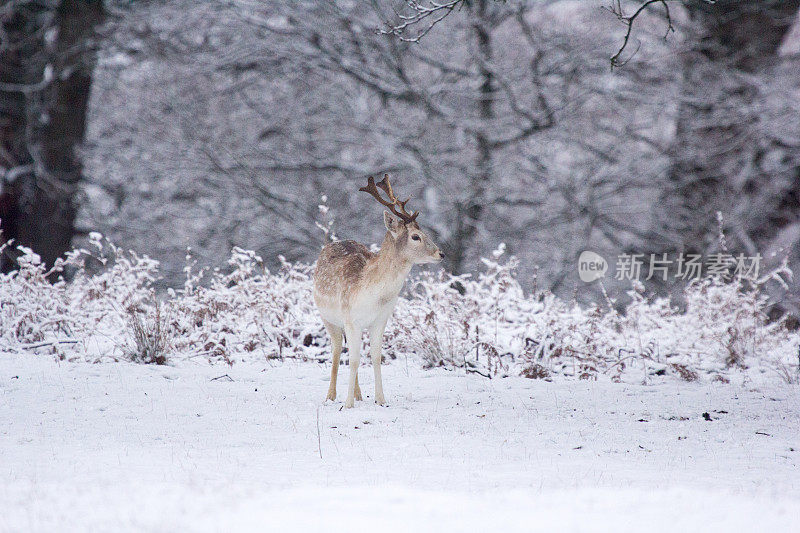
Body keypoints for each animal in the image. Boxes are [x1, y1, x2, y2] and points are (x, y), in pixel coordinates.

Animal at [314, 175, 444, 408]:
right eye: (415, 236)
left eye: (425, 233)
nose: (441, 253)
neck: (373, 296)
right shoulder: (350, 319)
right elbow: (354, 360)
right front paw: (347, 404)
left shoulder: (380, 320)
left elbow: (375, 357)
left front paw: (381, 400)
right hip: (328, 318)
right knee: (337, 350)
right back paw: (331, 395)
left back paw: (358, 394)